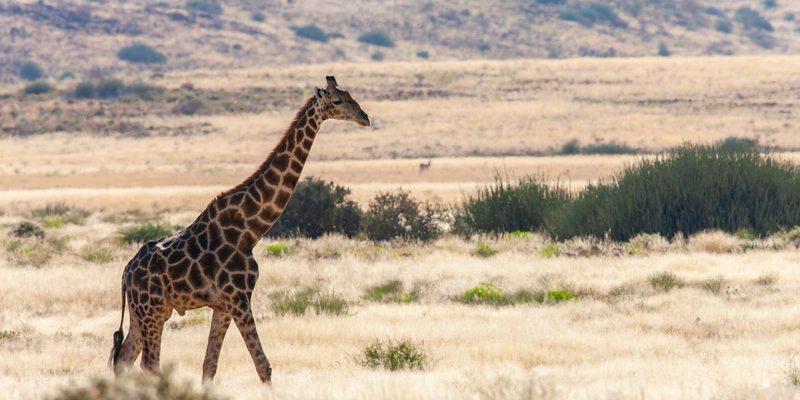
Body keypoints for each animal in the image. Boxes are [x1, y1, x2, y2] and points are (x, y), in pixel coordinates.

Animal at [108, 76, 369, 384]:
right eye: (338, 101)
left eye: (352, 96)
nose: (364, 117)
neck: (250, 229)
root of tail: (126, 273)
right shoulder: (239, 298)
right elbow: (263, 365)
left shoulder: (223, 305)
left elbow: (209, 365)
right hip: (153, 309)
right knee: (149, 364)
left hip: (144, 312)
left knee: (123, 358)